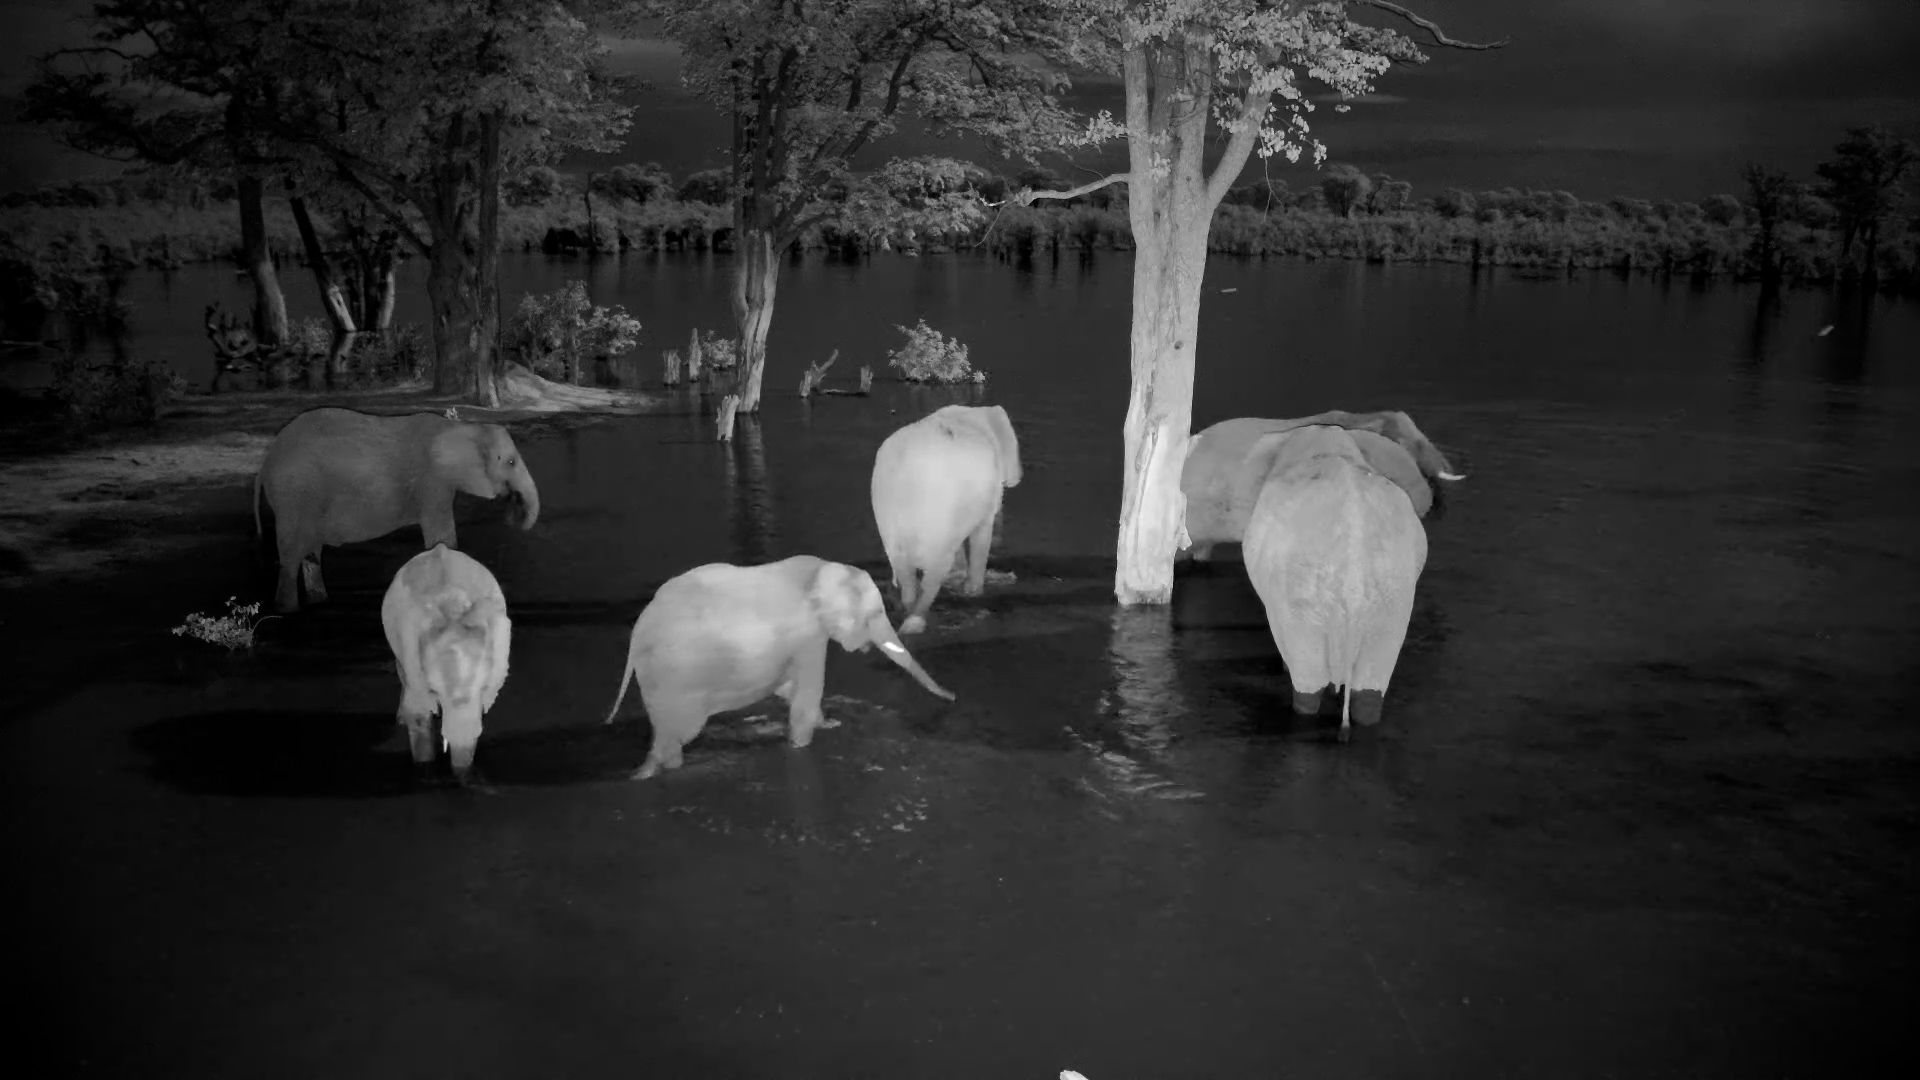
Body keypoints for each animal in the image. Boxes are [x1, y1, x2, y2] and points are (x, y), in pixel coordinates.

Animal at [253, 407, 540, 613]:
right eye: (511, 462)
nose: (513, 511)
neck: (461, 427)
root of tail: (266, 461)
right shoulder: (432, 482)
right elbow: (442, 539)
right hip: (294, 493)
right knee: (293, 552)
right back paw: (287, 610)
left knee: (311, 551)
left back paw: (320, 603)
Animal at [380, 544, 511, 788]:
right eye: (433, 690)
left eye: (484, 689)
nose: (463, 780)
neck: (453, 609)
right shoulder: (411, 652)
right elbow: (419, 711)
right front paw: (425, 773)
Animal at [604, 555, 955, 780]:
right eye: (873, 616)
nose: (953, 698)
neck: (825, 570)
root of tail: (637, 633)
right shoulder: (808, 636)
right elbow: (805, 696)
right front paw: (801, 745)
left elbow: (792, 690)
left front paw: (831, 725)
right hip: (677, 679)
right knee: (677, 734)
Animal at [869, 404, 1022, 634]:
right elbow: (980, 541)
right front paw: (973, 592)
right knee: (932, 577)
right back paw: (914, 624)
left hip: (888, 515)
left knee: (906, 574)